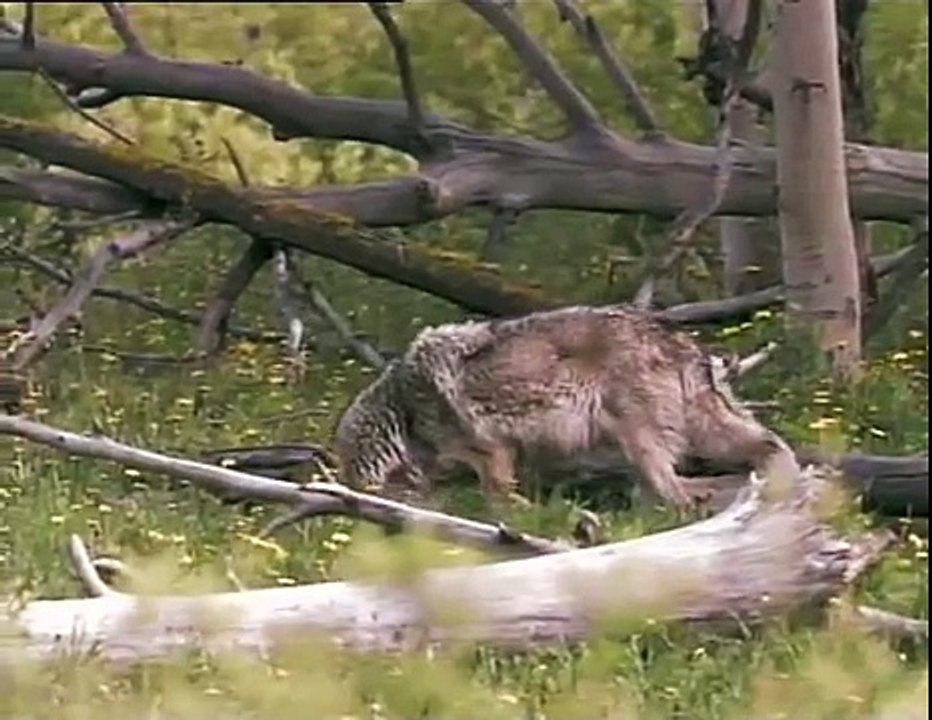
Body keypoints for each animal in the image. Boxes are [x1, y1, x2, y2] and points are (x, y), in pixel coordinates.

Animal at [332, 305, 799, 509]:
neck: (402, 409)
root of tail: (674, 335)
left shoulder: (491, 454)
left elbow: (499, 497)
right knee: (769, 444)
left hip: (640, 437)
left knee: (670, 487)